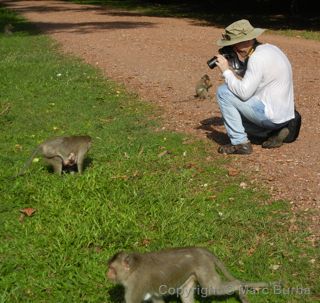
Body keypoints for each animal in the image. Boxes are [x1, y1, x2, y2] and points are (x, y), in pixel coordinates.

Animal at [107, 248, 270, 302]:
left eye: (112, 269)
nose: (107, 273)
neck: (133, 269)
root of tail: (201, 250)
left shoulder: (135, 284)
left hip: (204, 267)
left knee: (211, 289)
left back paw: (238, 287)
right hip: (192, 273)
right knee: (186, 293)